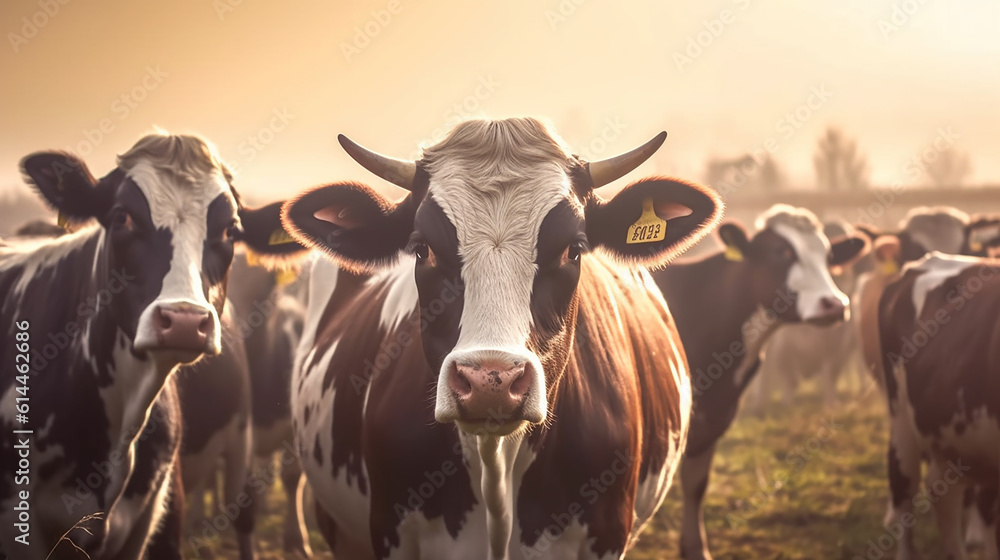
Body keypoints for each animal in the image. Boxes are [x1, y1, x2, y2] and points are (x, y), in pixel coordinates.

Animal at [651, 205, 869, 560]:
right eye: (779, 253)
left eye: (828, 256)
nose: (835, 304)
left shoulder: (714, 416)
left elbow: (696, 484)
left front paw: (695, 548)